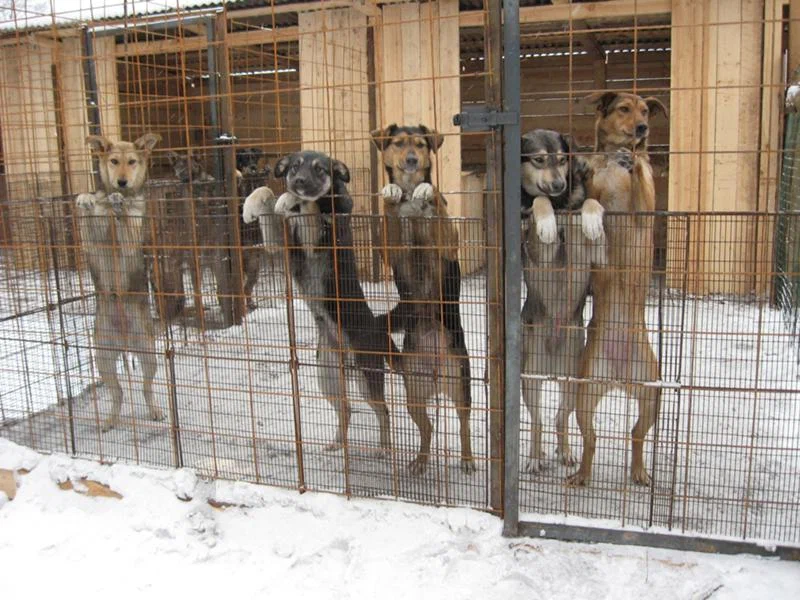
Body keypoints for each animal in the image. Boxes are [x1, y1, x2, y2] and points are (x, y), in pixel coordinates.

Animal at [76, 132, 163, 432]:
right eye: (114, 161)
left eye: (132, 162)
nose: (121, 182)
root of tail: (124, 341)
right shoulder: (94, 240)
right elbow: (91, 214)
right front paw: (86, 198)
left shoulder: (129, 236)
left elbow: (125, 220)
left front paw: (120, 206)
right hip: (102, 358)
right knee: (118, 392)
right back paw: (110, 420)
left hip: (148, 353)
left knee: (147, 388)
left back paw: (155, 411)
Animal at [242, 150, 396, 454]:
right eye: (294, 167)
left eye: (320, 169)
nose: (299, 182)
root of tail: (376, 325)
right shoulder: (281, 247)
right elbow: (266, 191)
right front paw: (251, 205)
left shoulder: (318, 237)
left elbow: (310, 204)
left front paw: (290, 199)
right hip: (327, 376)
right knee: (346, 409)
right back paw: (337, 443)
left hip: (367, 375)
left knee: (383, 411)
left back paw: (385, 447)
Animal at [370, 124, 476, 476]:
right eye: (398, 143)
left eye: (419, 144)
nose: (412, 160)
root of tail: (433, 373)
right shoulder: (390, 250)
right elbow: (389, 210)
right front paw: (390, 191)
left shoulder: (447, 245)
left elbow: (437, 205)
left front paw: (427, 190)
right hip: (413, 395)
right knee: (427, 427)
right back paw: (420, 459)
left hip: (460, 385)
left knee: (464, 424)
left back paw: (468, 460)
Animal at [516, 130, 608, 474]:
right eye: (539, 159)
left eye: (563, 159)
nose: (558, 184)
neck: (560, 206)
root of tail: (553, 368)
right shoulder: (538, 252)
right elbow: (538, 205)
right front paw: (546, 222)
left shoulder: (595, 256)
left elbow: (590, 203)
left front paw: (592, 217)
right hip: (529, 380)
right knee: (539, 421)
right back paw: (534, 458)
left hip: (574, 382)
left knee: (560, 419)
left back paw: (566, 452)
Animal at [564, 92, 672, 488]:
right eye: (624, 108)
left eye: (644, 111)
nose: (642, 128)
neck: (612, 159)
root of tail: (618, 374)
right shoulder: (593, 190)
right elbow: (591, 198)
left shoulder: (647, 206)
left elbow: (641, 174)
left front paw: (636, 157)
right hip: (585, 395)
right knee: (591, 438)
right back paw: (582, 473)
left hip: (652, 394)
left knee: (637, 435)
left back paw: (639, 470)